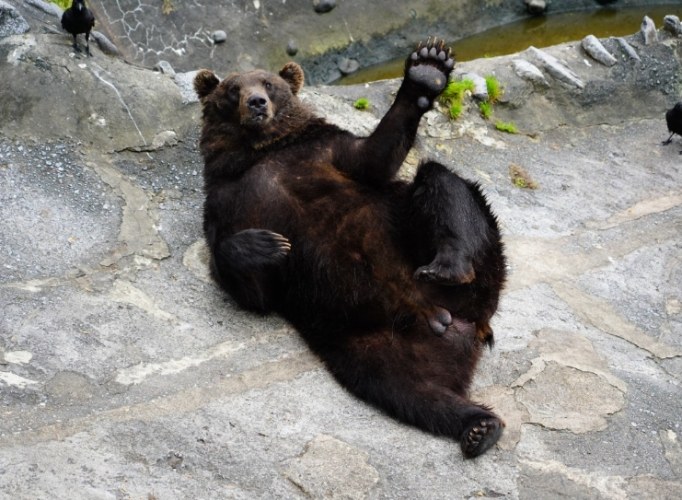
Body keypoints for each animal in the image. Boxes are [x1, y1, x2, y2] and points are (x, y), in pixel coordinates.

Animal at [194, 38, 507, 458]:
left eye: (269, 83)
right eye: (232, 90)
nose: (257, 102)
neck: (259, 152)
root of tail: (455, 321)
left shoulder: (324, 152)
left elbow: (372, 158)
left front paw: (428, 68)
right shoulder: (227, 200)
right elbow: (249, 286)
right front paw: (265, 244)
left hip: (467, 258)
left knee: (442, 183)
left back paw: (448, 265)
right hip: (363, 341)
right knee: (405, 390)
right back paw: (477, 426)